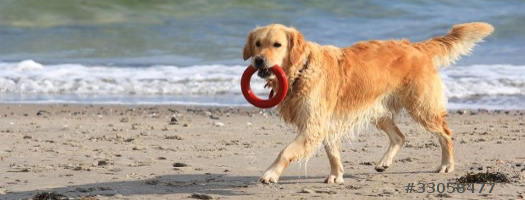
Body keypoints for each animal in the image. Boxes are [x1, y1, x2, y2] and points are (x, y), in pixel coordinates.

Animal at [242, 22, 492, 184]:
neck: (301, 70)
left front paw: (271, 174)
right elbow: (332, 152)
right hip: (378, 110)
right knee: (400, 137)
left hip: (422, 107)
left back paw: (447, 164)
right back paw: (384, 162)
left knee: (445, 133)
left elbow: (285, 151)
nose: (258, 60)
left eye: (277, 44)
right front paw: (336, 175)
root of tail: (415, 47)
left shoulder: (313, 125)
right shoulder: (326, 122)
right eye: (257, 43)